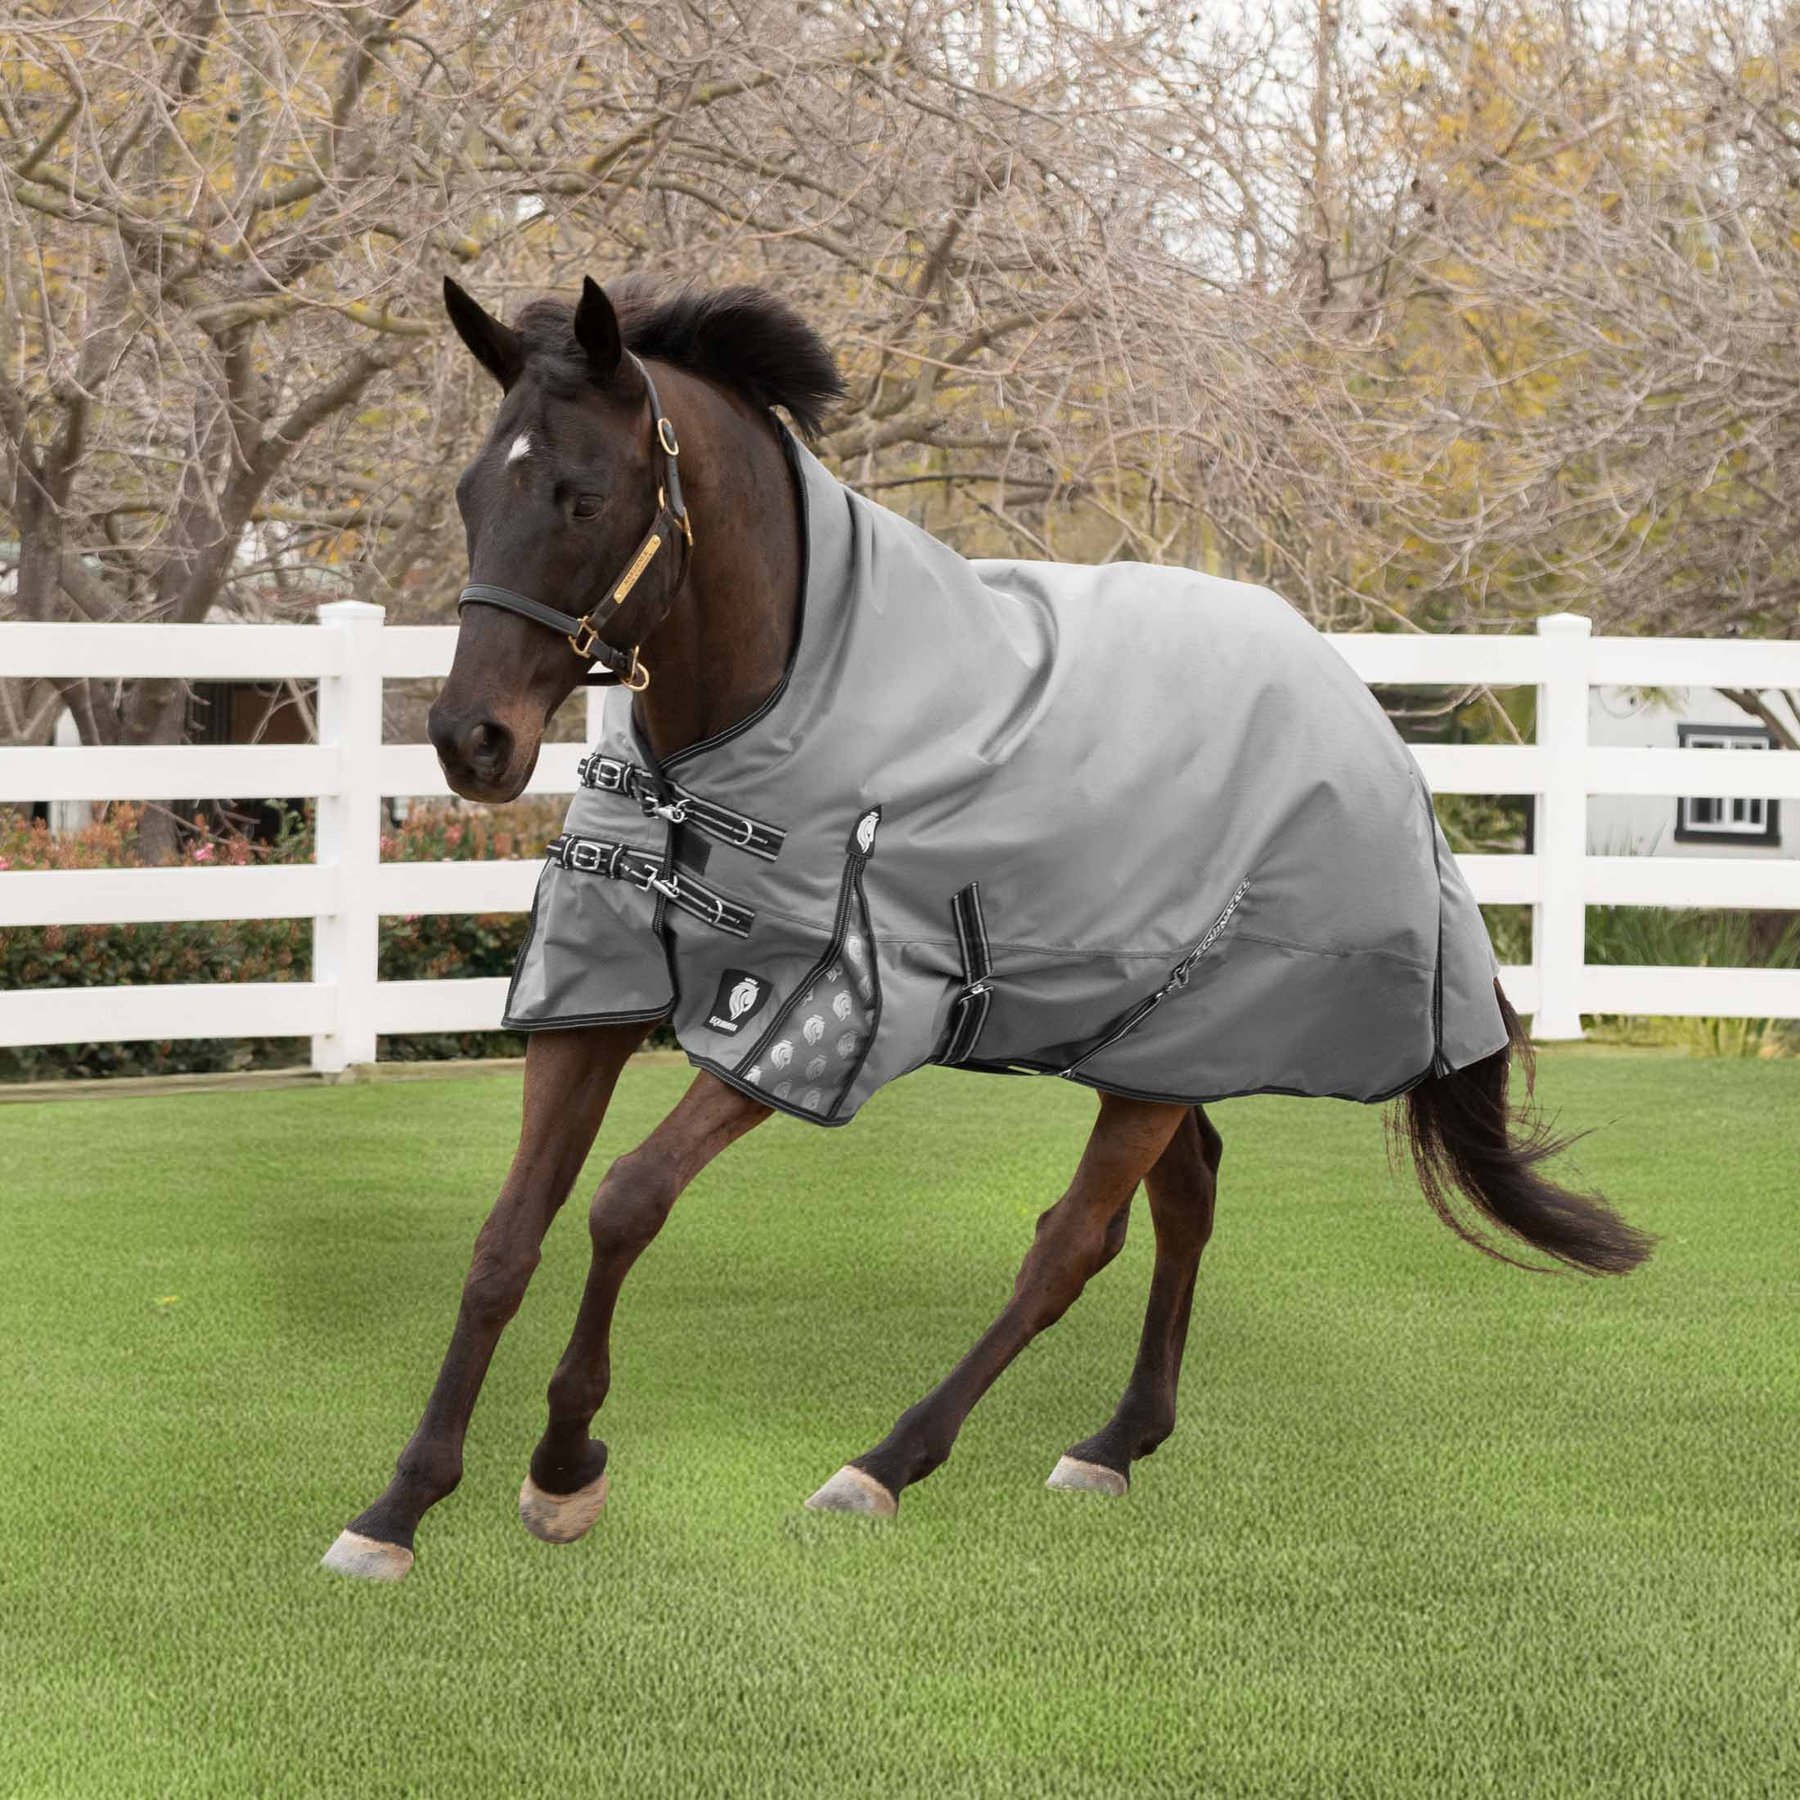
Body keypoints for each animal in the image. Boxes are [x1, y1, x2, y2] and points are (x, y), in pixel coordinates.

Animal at [321, 275, 1651, 1582]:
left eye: (583, 497)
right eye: (472, 491)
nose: (470, 741)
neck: (763, 705)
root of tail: (1345, 689)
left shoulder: (804, 1013)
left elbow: (623, 1203)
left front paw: (563, 1469)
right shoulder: (593, 999)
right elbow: (507, 1240)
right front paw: (400, 1504)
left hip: (1170, 1042)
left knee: (1073, 1244)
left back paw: (887, 1463)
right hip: (1153, 1042)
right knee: (1183, 1203)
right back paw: (1117, 1442)